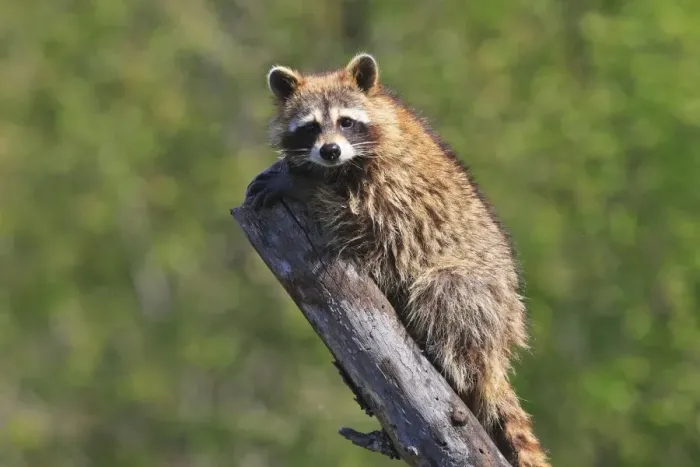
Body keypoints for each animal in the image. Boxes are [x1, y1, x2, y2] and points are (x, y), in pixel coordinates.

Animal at [247, 53, 550, 467]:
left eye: (346, 121)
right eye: (309, 127)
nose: (329, 151)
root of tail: (499, 349)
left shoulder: (394, 190)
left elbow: (365, 224)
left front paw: (302, 185)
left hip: (484, 298)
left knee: (448, 291)